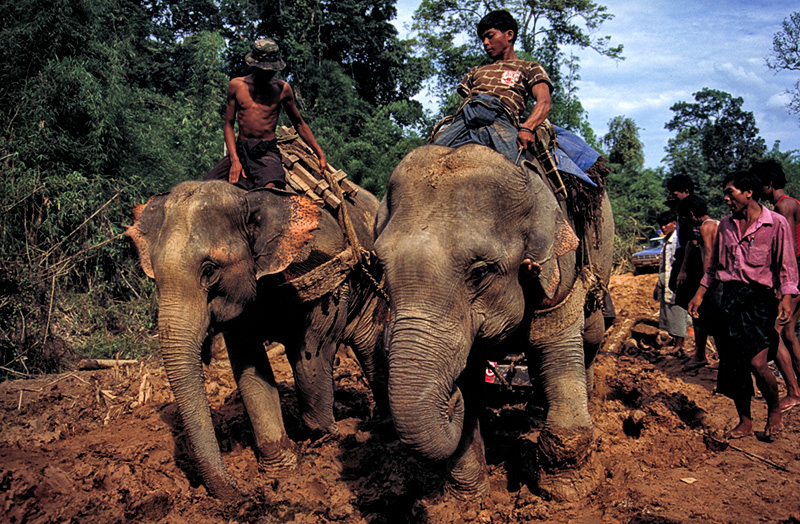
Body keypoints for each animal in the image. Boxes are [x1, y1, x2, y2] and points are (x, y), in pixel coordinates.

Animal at [126, 180, 389, 499]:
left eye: (209, 270)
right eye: (153, 274)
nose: (239, 491)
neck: (249, 197)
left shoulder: (325, 278)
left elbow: (311, 356)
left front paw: (328, 440)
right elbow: (251, 371)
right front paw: (282, 469)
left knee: (368, 345)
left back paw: (384, 427)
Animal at [373, 144, 614, 501]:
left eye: (479, 272)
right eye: (380, 266)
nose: (450, 399)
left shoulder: (559, 270)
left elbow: (555, 335)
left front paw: (569, 491)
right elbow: (470, 370)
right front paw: (469, 500)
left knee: (593, 334)